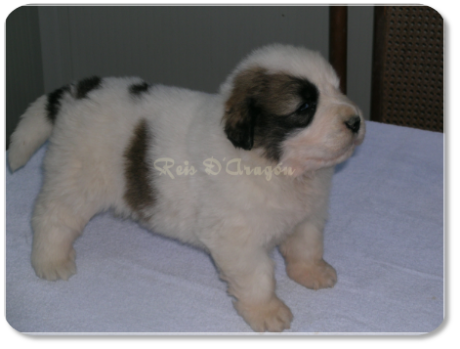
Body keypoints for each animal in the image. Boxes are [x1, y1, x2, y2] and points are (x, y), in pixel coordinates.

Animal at [7, 44, 364, 330]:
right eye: (304, 108)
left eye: (337, 89)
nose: (356, 121)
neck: (275, 164)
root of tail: (77, 89)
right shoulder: (238, 239)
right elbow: (258, 277)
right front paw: (267, 312)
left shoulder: (307, 215)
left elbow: (307, 245)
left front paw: (312, 272)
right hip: (77, 175)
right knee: (53, 216)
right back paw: (51, 260)